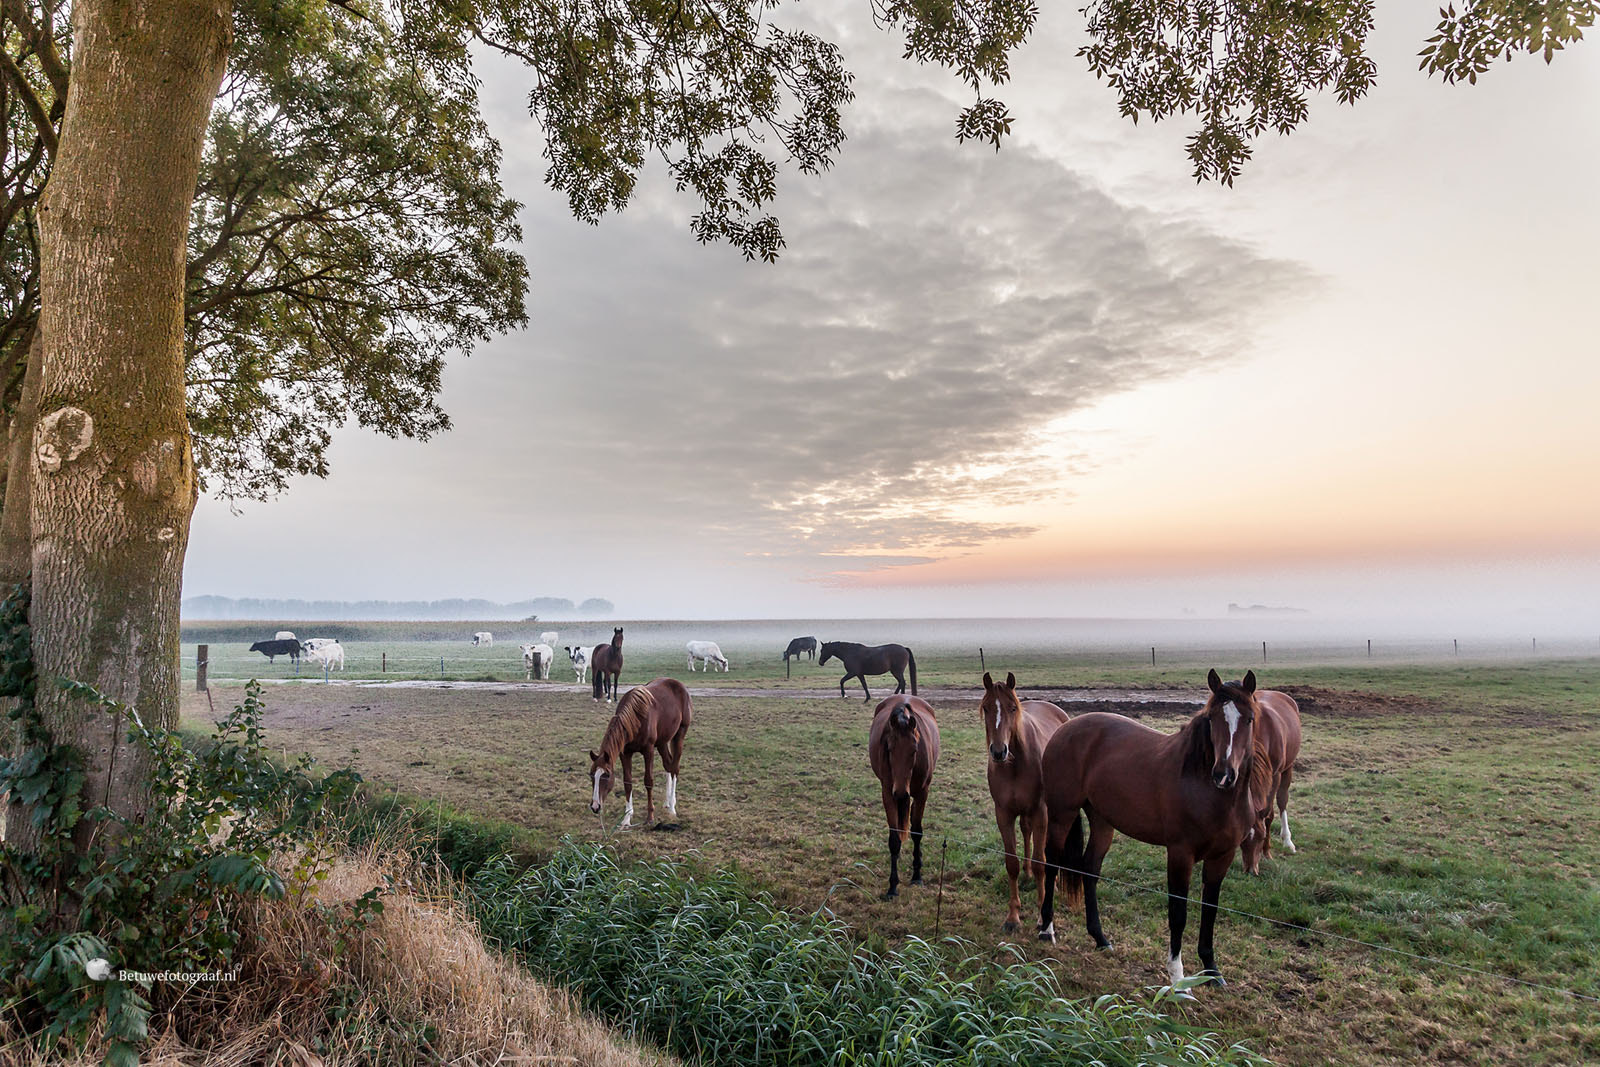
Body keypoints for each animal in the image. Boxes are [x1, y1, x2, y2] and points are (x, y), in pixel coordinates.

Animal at [585, 675, 691, 831]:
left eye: (607, 775)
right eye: (592, 775)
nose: (595, 806)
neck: (636, 718)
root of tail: (679, 685)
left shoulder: (648, 751)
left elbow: (648, 781)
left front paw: (650, 817)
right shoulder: (625, 753)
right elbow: (627, 782)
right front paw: (626, 818)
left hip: (679, 735)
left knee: (675, 768)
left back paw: (672, 807)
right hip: (662, 742)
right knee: (668, 765)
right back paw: (666, 802)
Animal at [870, 697, 940, 895]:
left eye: (914, 750)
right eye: (889, 749)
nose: (901, 792)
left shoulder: (922, 793)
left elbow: (917, 832)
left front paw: (917, 875)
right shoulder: (888, 793)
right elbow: (894, 840)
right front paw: (893, 886)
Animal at [979, 675, 1068, 934]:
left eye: (1012, 708)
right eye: (986, 708)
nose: (999, 752)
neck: (1015, 764)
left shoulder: (1040, 812)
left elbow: (1041, 862)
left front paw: (1043, 917)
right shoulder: (1004, 814)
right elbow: (1012, 863)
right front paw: (1012, 916)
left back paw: (1054, 883)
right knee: (1026, 832)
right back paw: (1028, 874)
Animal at [1036, 671, 1273, 991]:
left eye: (1249, 719)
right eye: (1212, 718)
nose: (1223, 775)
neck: (1206, 790)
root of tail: (1065, 727)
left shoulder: (1221, 857)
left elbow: (1210, 910)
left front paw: (1212, 970)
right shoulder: (1180, 854)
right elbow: (1178, 913)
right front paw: (1178, 977)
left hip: (1102, 821)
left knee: (1090, 870)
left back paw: (1100, 938)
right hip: (1063, 815)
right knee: (1051, 864)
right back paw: (1047, 929)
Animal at [1235, 694, 1299, 876]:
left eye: (1262, 836)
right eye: (1242, 839)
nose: (1250, 870)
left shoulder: (1275, 775)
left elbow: (1269, 813)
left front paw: (1266, 852)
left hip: (1288, 768)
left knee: (1282, 800)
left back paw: (1287, 840)